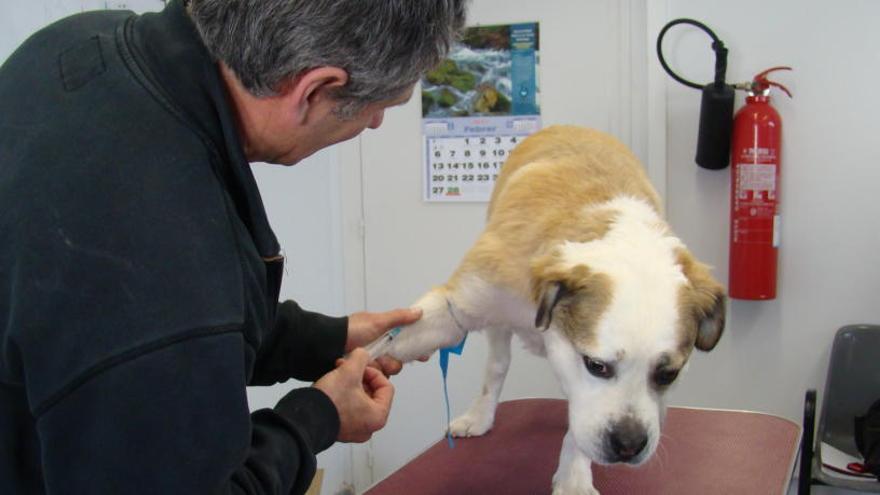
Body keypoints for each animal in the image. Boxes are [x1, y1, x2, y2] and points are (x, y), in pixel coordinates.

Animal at [374, 126, 724, 495]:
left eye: (668, 374)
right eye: (597, 366)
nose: (629, 445)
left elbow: (579, 424)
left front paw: (573, 476)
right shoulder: (465, 302)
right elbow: (392, 341)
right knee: (497, 365)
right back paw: (480, 415)